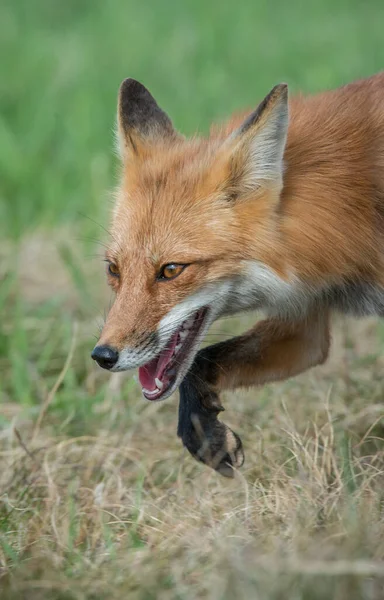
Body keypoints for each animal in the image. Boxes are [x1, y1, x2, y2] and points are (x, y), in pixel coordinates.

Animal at [91, 74, 384, 478]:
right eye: (114, 269)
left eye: (170, 270)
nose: (103, 356)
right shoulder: (304, 321)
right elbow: (203, 362)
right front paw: (206, 438)